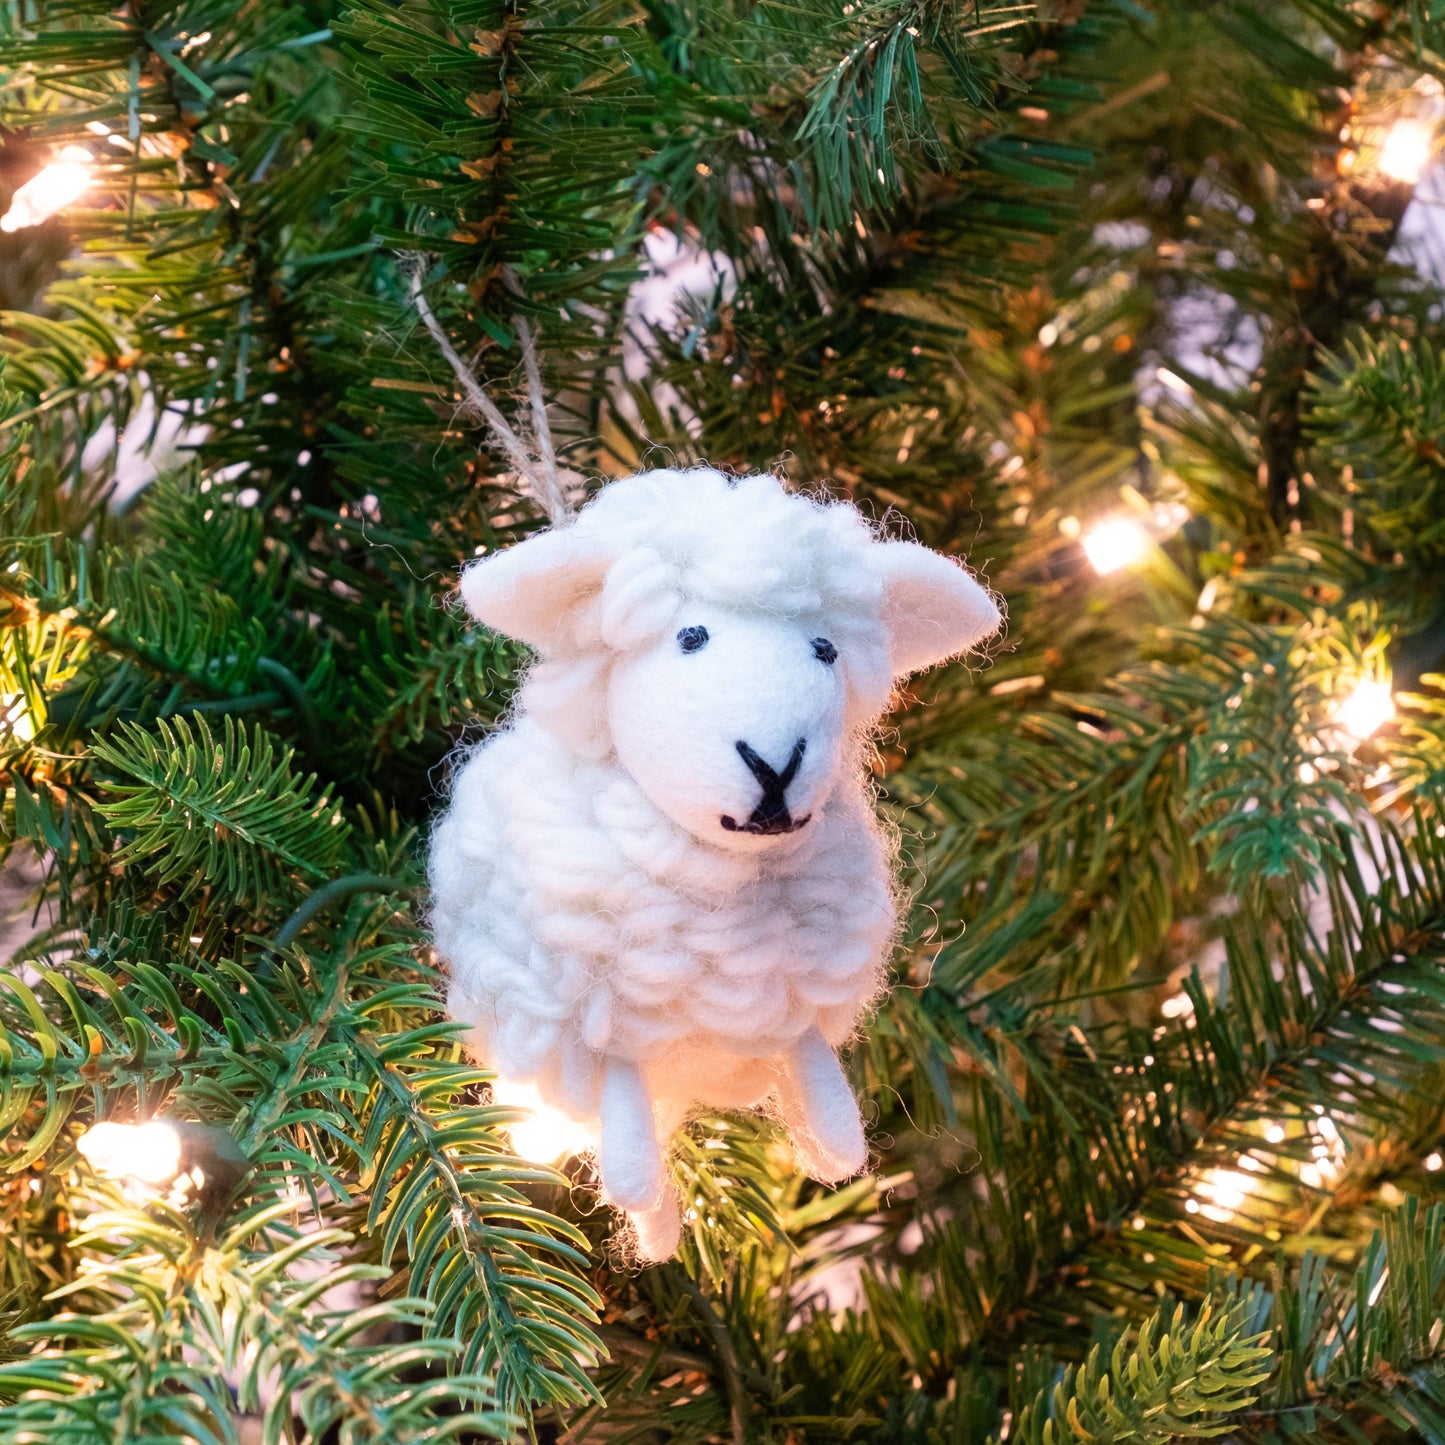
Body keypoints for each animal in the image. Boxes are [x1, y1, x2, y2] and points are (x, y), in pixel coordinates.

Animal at [424, 468, 994, 1260]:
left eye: (825, 649)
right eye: (689, 637)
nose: (776, 766)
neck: (717, 897)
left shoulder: (792, 995)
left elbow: (812, 1059)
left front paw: (838, 1145)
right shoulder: (599, 1016)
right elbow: (625, 1115)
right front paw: (637, 1188)